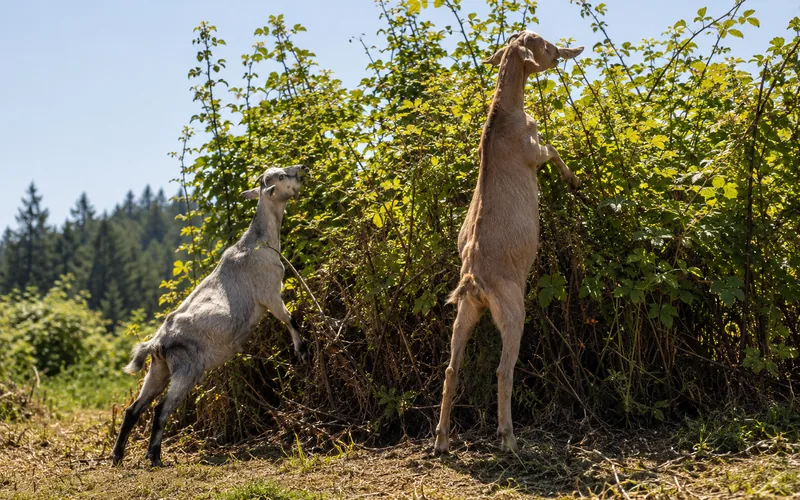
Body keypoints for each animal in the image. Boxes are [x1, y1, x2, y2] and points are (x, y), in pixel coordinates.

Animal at [112, 165, 308, 467]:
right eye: (281, 177)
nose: (302, 170)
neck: (259, 242)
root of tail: (157, 343)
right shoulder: (269, 293)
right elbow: (290, 319)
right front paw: (300, 350)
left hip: (159, 370)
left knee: (134, 409)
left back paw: (118, 455)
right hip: (188, 368)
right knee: (160, 410)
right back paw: (154, 456)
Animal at [434, 32, 584, 454]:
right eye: (545, 45)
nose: (564, 51)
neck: (502, 117)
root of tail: (474, 281)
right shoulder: (533, 150)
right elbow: (553, 150)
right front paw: (574, 181)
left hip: (465, 314)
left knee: (451, 367)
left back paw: (441, 441)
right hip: (513, 309)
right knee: (504, 369)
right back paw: (509, 438)